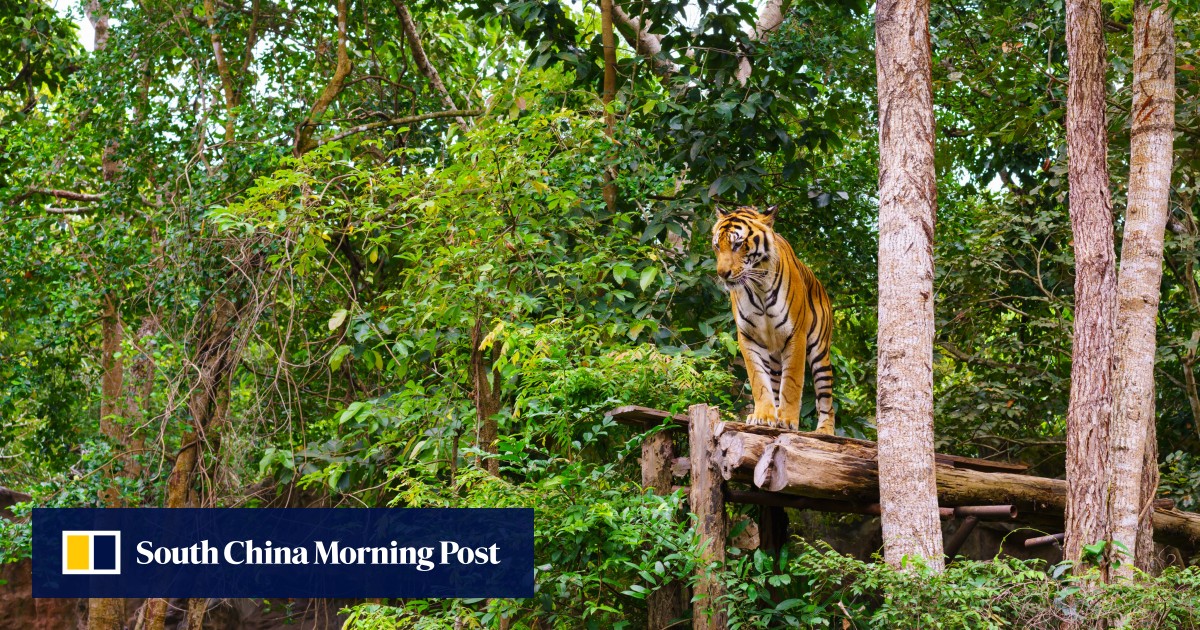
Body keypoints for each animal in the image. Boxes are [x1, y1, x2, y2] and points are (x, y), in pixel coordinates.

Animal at [711, 204, 836, 434]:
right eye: (717, 245)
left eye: (738, 244)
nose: (722, 274)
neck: (758, 286)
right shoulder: (748, 337)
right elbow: (759, 380)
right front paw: (762, 416)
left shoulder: (795, 335)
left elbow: (792, 383)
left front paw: (787, 420)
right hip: (776, 358)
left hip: (820, 352)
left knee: (826, 401)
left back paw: (824, 431)